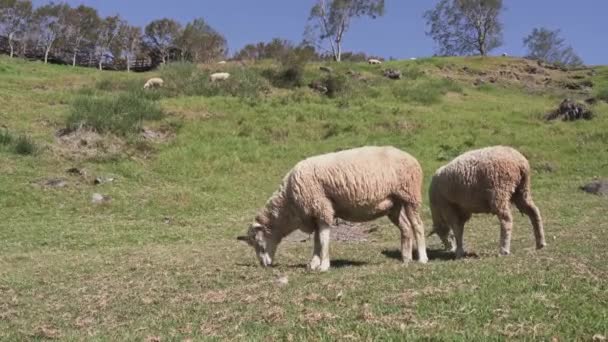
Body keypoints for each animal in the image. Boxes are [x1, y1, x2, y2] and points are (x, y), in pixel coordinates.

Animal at [238, 146, 428, 272]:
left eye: (259, 244)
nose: (264, 265)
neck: (289, 205)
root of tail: (411, 157)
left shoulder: (322, 208)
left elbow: (323, 240)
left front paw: (323, 266)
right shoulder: (314, 214)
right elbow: (316, 241)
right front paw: (313, 263)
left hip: (410, 196)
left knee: (418, 226)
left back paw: (422, 258)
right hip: (394, 205)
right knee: (406, 228)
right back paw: (406, 259)